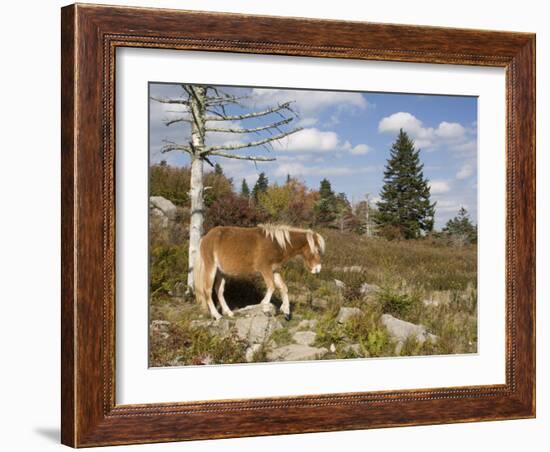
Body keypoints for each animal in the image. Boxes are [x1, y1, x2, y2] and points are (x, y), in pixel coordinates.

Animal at [194, 224, 326, 320]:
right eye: (317, 250)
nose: (318, 269)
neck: (276, 244)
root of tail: (205, 238)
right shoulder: (265, 269)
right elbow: (272, 287)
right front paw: (264, 306)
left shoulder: (274, 270)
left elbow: (283, 288)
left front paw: (286, 311)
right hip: (211, 267)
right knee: (207, 290)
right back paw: (217, 315)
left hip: (222, 272)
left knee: (219, 291)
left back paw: (228, 312)